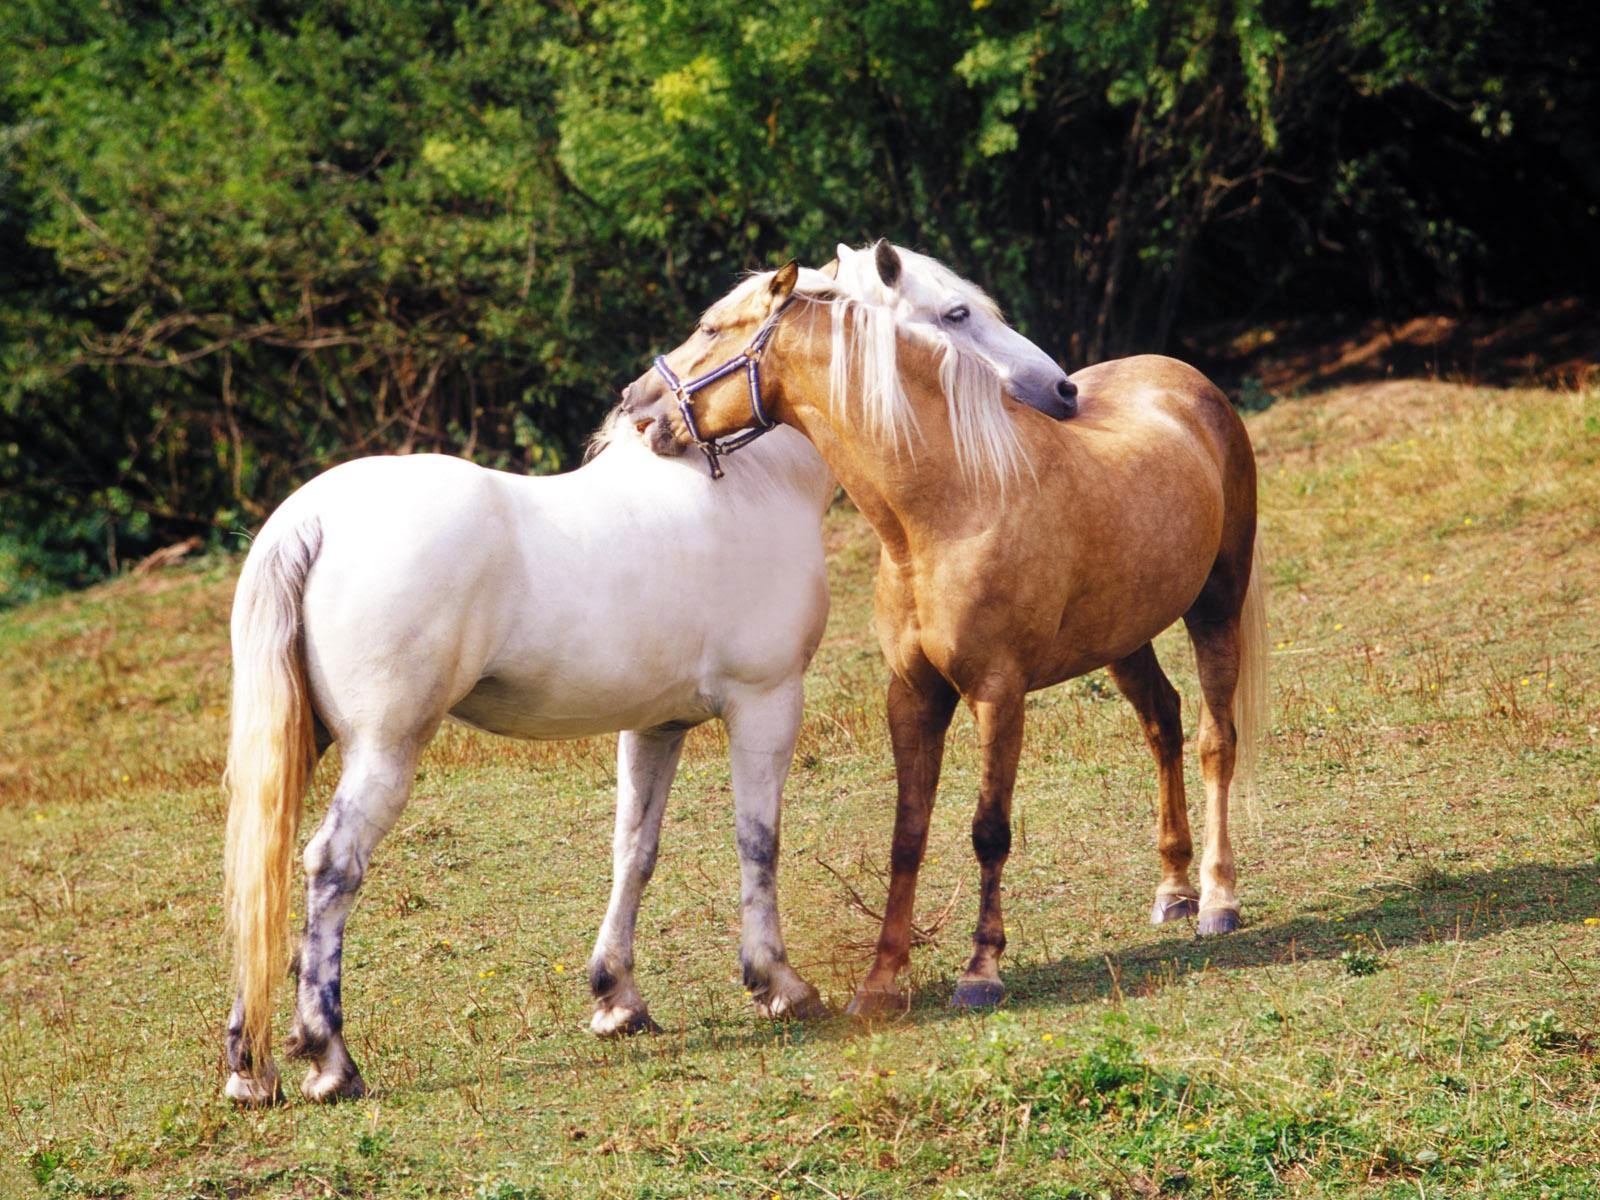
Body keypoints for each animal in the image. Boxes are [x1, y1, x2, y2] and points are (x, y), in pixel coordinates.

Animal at [620, 241, 1267, 1015]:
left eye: (713, 329)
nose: (636, 404)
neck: (949, 504)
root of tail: (1185, 380)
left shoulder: (997, 694)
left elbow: (989, 830)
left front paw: (981, 970)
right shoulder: (913, 695)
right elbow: (908, 834)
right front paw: (880, 981)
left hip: (1215, 607)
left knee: (1214, 741)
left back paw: (1217, 900)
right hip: (1123, 635)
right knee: (1162, 723)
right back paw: (1173, 890)